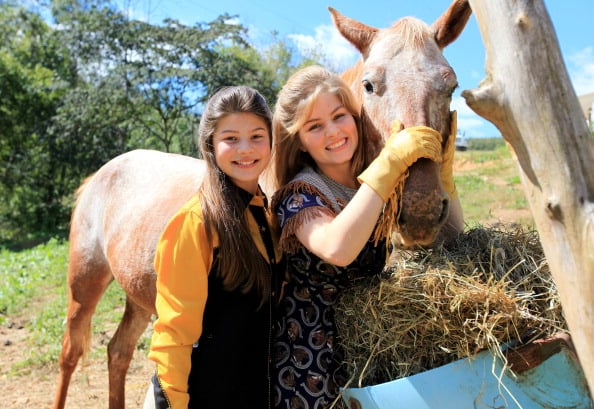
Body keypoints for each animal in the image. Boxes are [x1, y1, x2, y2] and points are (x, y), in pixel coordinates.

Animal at [53, 1, 470, 406]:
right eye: (369, 85)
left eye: (451, 84)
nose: (421, 210)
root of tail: (103, 172)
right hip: (85, 282)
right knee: (71, 353)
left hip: (141, 297)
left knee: (118, 352)